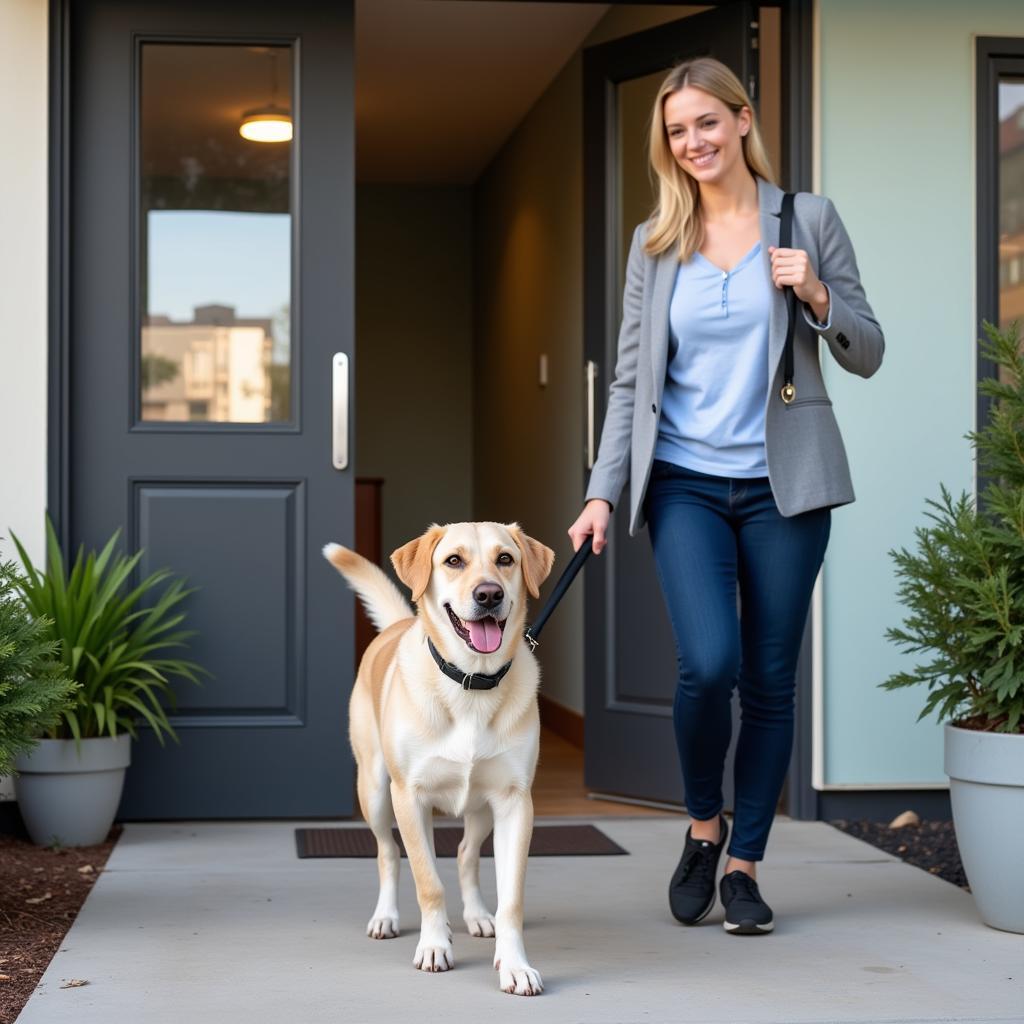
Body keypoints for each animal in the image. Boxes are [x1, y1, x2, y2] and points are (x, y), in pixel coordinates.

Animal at [325, 524, 552, 995]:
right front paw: (433, 946)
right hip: (376, 794)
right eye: (453, 561)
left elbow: (511, 900)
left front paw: (515, 964)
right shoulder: (409, 797)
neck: (472, 681)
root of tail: (397, 624)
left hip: (481, 809)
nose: (489, 594)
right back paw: (388, 917)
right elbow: (427, 882)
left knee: (465, 853)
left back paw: (477, 916)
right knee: (390, 853)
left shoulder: (515, 802)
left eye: (505, 559)